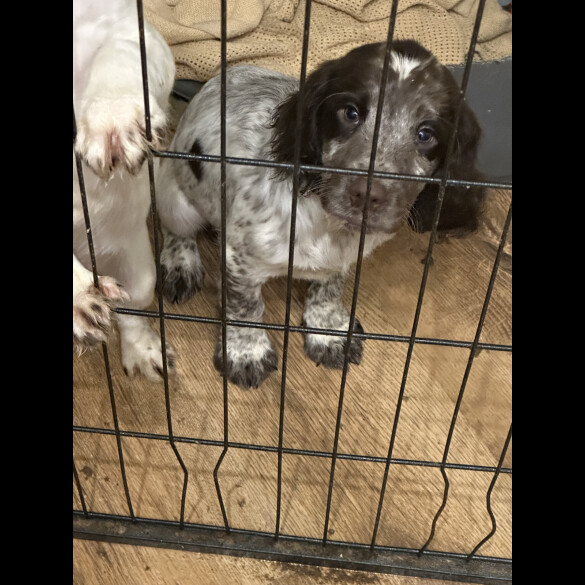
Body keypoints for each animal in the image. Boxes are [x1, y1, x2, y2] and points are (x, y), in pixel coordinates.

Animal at [72, 0, 176, 378]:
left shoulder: (131, 30)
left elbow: (118, 54)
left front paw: (112, 117)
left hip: (138, 268)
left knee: (133, 308)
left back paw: (142, 351)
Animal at [156, 40, 484, 388]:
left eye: (425, 134)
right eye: (351, 113)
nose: (368, 194)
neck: (329, 225)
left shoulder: (344, 256)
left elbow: (329, 288)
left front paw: (328, 331)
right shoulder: (238, 259)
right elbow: (245, 308)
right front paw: (246, 352)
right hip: (178, 202)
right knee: (175, 231)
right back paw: (180, 264)